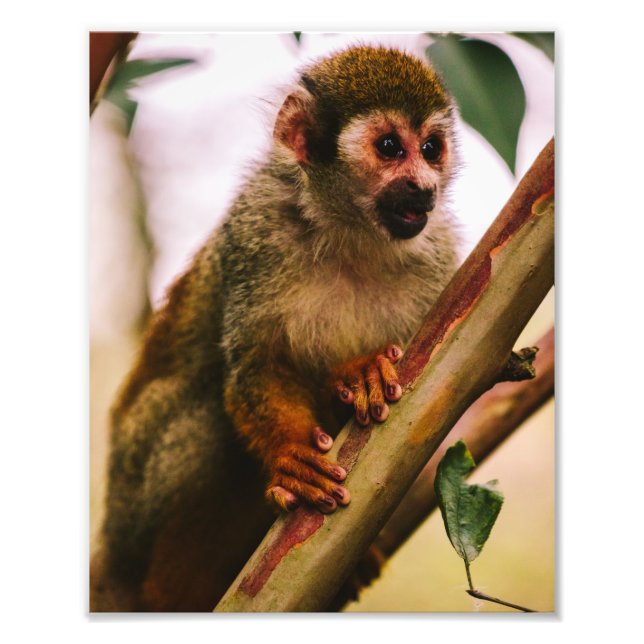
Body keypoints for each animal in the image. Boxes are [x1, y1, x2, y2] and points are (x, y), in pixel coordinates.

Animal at [90, 44, 461, 612]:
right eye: (390, 147)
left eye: (431, 148)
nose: (424, 188)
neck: (351, 234)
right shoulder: (256, 231)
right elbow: (255, 366)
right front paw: (292, 454)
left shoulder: (440, 259)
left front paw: (362, 377)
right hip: (131, 513)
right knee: (203, 414)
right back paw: (170, 592)